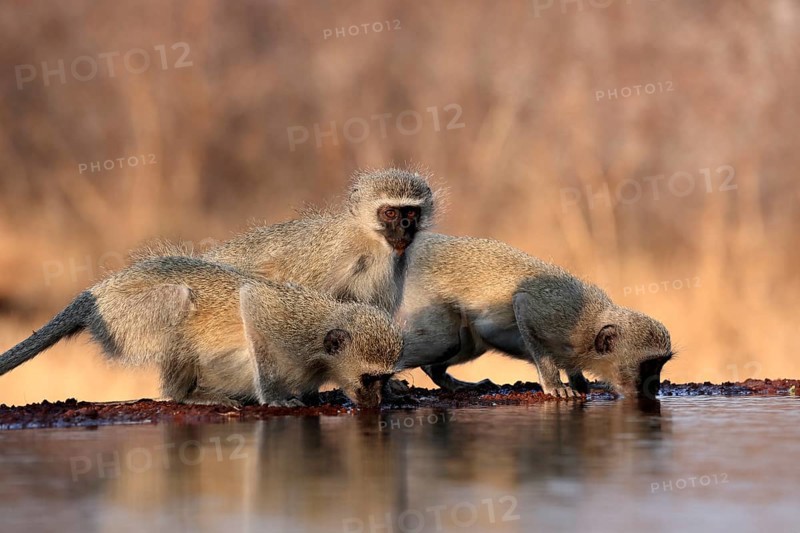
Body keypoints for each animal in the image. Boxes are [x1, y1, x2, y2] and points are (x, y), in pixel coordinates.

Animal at [0, 256, 403, 408]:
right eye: (369, 378)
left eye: (382, 379)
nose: (375, 402)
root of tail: (101, 291)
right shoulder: (288, 324)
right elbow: (251, 303)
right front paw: (275, 398)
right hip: (124, 317)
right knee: (177, 301)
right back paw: (187, 396)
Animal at [396, 233, 674, 399]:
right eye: (649, 365)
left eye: (660, 364)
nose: (655, 386)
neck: (588, 331)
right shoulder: (553, 314)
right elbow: (522, 304)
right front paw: (555, 385)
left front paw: (579, 381)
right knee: (445, 341)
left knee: (463, 345)